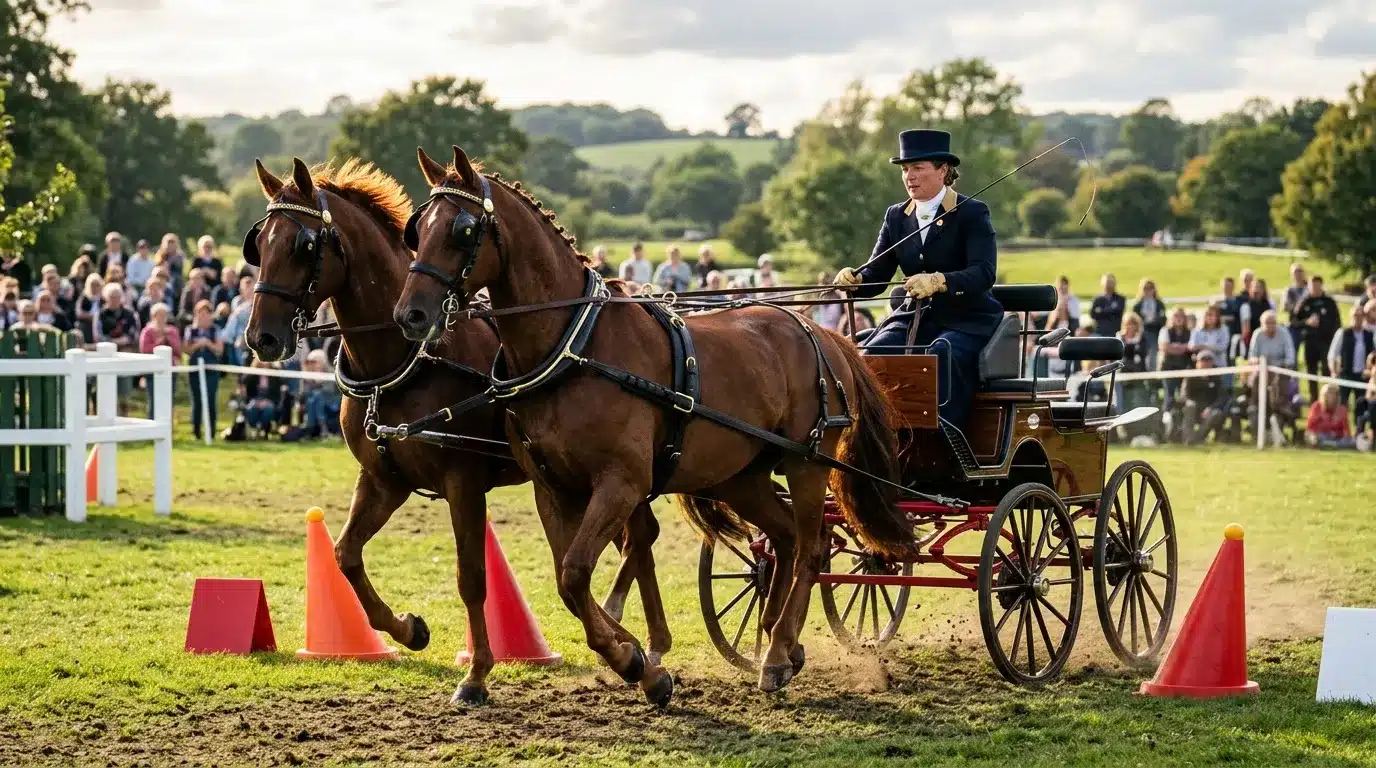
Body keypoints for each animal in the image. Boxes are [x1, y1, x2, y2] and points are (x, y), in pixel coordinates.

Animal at [242, 157, 673, 705]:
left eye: (303, 244)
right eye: (260, 242)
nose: (262, 337)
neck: (404, 361)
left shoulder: (462, 481)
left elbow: (471, 577)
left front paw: (477, 674)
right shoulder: (384, 480)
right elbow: (345, 555)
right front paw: (408, 629)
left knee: (634, 541)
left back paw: (636, 643)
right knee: (639, 539)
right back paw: (646, 643)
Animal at [391, 145, 913, 704]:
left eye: (463, 230)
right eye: (417, 229)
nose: (410, 315)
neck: (574, 345)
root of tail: (819, 329)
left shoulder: (623, 481)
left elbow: (576, 573)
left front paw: (634, 659)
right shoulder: (552, 488)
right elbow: (569, 579)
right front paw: (640, 659)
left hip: (806, 463)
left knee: (813, 547)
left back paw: (775, 655)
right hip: (739, 475)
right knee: (786, 539)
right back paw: (780, 641)